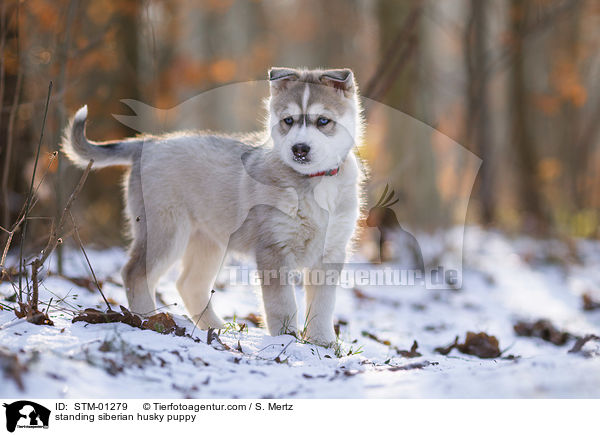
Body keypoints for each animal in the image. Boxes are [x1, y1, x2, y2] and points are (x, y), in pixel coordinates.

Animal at [62, 67, 360, 348]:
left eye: (323, 121)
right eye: (288, 121)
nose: (299, 149)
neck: (314, 182)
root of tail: (147, 142)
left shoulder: (331, 251)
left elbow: (323, 304)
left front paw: (322, 342)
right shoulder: (273, 249)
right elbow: (283, 305)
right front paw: (286, 341)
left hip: (208, 241)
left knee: (189, 284)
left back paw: (215, 328)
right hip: (166, 231)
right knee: (135, 273)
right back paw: (149, 320)